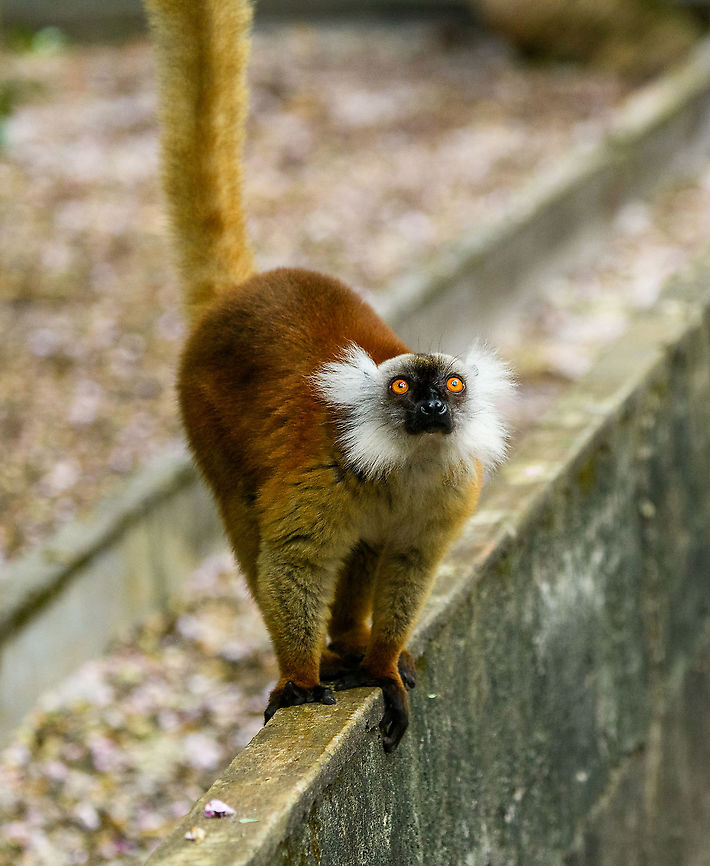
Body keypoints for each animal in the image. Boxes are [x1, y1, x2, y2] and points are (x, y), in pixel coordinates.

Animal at [144, 0, 513, 752]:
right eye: (402, 388)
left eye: (452, 386)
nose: (433, 408)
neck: (408, 462)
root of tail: (235, 297)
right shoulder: (327, 468)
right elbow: (292, 562)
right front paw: (298, 679)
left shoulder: (452, 488)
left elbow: (411, 562)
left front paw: (382, 663)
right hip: (202, 413)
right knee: (247, 524)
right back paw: (319, 655)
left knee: (366, 548)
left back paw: (350, 642)